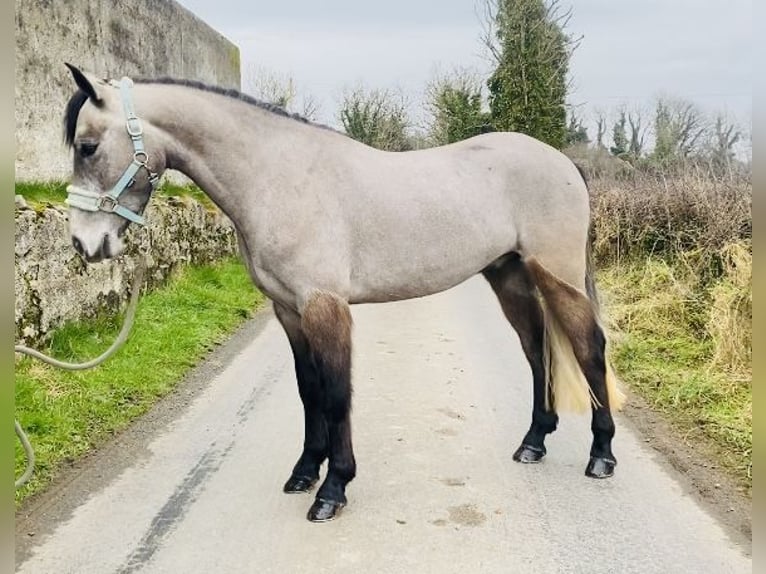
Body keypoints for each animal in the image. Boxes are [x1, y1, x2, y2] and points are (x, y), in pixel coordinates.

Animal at [60, 65, 624, 524]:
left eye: (87, 146)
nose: (85, 244)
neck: (279, 178)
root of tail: (564, 163)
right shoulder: (288, 311)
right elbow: (309, 390)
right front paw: (305, 471)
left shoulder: (324, 306)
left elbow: (335, 392)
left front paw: (332, 489)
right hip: (508, 275)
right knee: (537, 348)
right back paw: (533, 443)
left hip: (556, 273)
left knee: (588, 349)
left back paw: (601, 455)